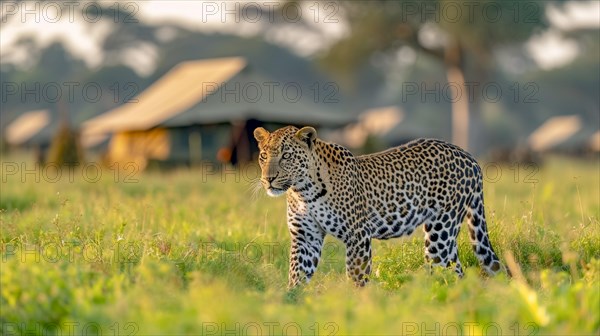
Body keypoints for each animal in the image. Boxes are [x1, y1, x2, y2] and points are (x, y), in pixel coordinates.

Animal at [252, 124, 502, 288]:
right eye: (263, 155)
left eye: (286, 156)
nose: (268, 179)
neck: (302, 191)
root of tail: (469, 156)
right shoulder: (305, 236)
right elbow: (297, 275)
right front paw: (291, 304)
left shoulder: (357, 235)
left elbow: (356, 277)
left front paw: (356, 307)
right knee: (454, 269)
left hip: (441, 230)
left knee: (448, 270)